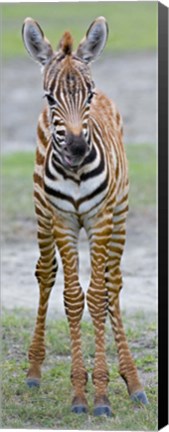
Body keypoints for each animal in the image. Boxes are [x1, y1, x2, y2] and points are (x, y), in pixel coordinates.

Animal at [22, 16, 148, 416]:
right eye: (50, 98)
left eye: (88, 96)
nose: (77, 148)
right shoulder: (62, 221)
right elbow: (74, 298)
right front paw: (81, 393)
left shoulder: (101, 220)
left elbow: (97, 296)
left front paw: (103, 394)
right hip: (42, 214)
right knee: (46, 274)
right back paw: (34, 370)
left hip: (119, 216)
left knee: (113, 284)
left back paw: (133, 381)